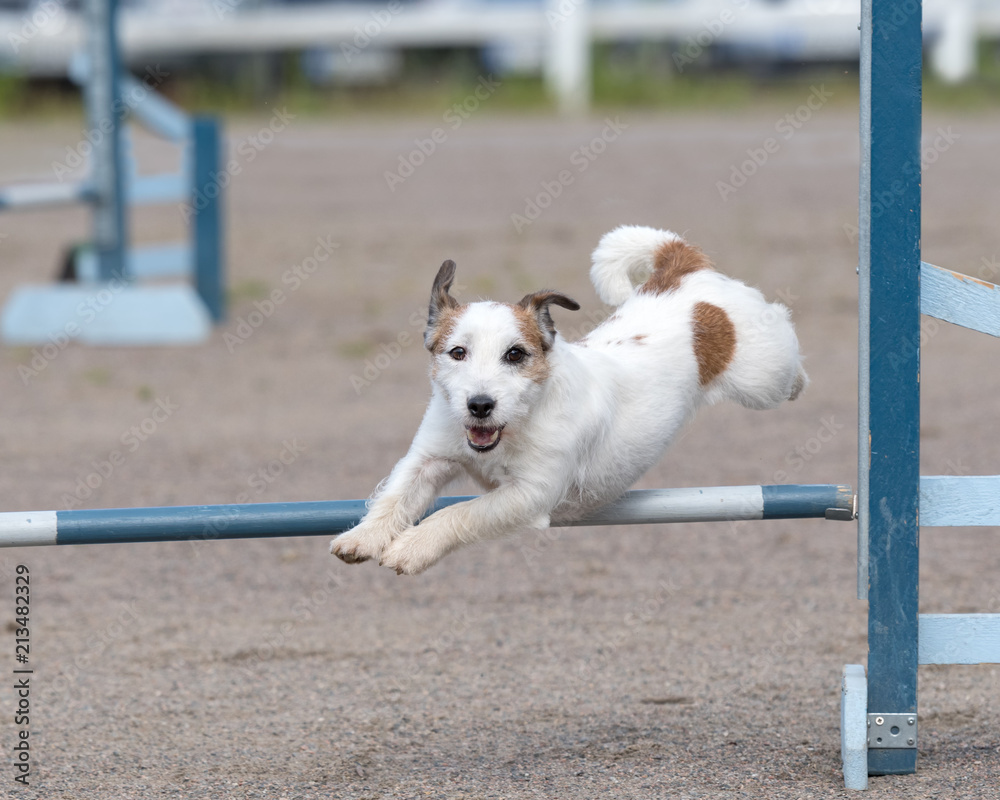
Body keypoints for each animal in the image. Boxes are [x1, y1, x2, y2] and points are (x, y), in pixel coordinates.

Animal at [332, 225, 808, 576]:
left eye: (515, 354)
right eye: (457, 352)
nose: (480, 405)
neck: (518, 425)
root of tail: (686, 275)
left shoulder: (530, 495)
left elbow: (460, 513)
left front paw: (412, 547)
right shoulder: (429, 458)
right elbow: (394, 495)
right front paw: (363, 536)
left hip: (763, 379)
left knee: (786, 340)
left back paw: (799, 377)